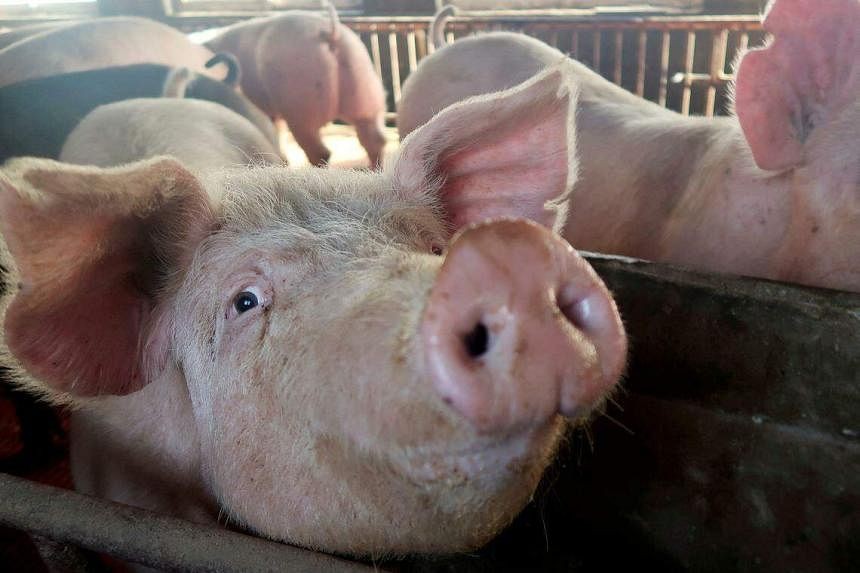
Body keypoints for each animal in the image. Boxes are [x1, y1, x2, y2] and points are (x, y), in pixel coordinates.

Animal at [204, 2, 388, 168]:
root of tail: (330, 31)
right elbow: (278, 131)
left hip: (300, 102)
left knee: (320, 151)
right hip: (364, 84)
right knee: (375, 139)